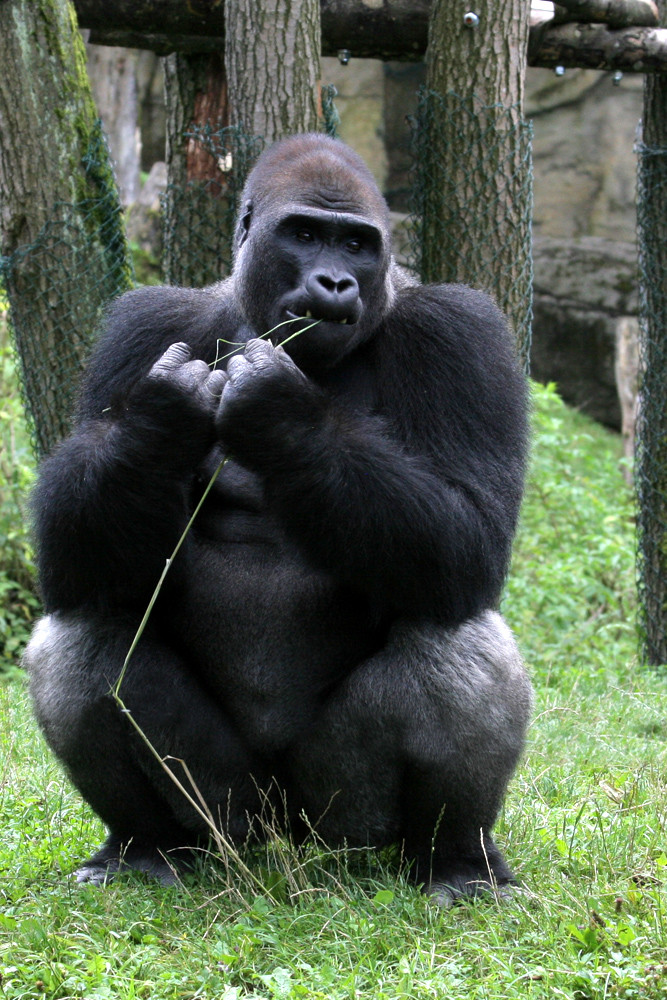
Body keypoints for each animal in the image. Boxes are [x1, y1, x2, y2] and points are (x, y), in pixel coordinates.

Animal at [26, 129, 536, 904]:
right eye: (303, 234)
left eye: (356, 244)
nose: (335, 284)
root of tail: (283, 840)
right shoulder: (142, 323)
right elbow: (75, 557)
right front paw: (160, 418)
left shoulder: (462, 331)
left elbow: (468, 537)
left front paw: (277, 407)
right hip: (225, 810)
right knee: (87, 625)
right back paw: (143, 846)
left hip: (341, 820)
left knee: (452, 634)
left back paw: (454, 859)